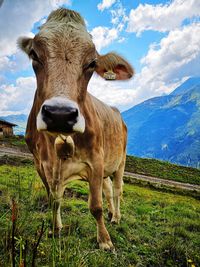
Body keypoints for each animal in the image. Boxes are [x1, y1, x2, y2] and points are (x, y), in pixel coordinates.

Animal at [18, 8, 134, 251]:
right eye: (34, 54)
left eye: (92, 63)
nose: (60, 114)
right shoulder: (41, 165)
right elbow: (53, 200)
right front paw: (56, 229)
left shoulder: (96, 161)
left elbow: (95, 206)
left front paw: (105, 241)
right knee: (108, 189)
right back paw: (112, 214)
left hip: (120, 161)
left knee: (117, 190)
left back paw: (116, 217)